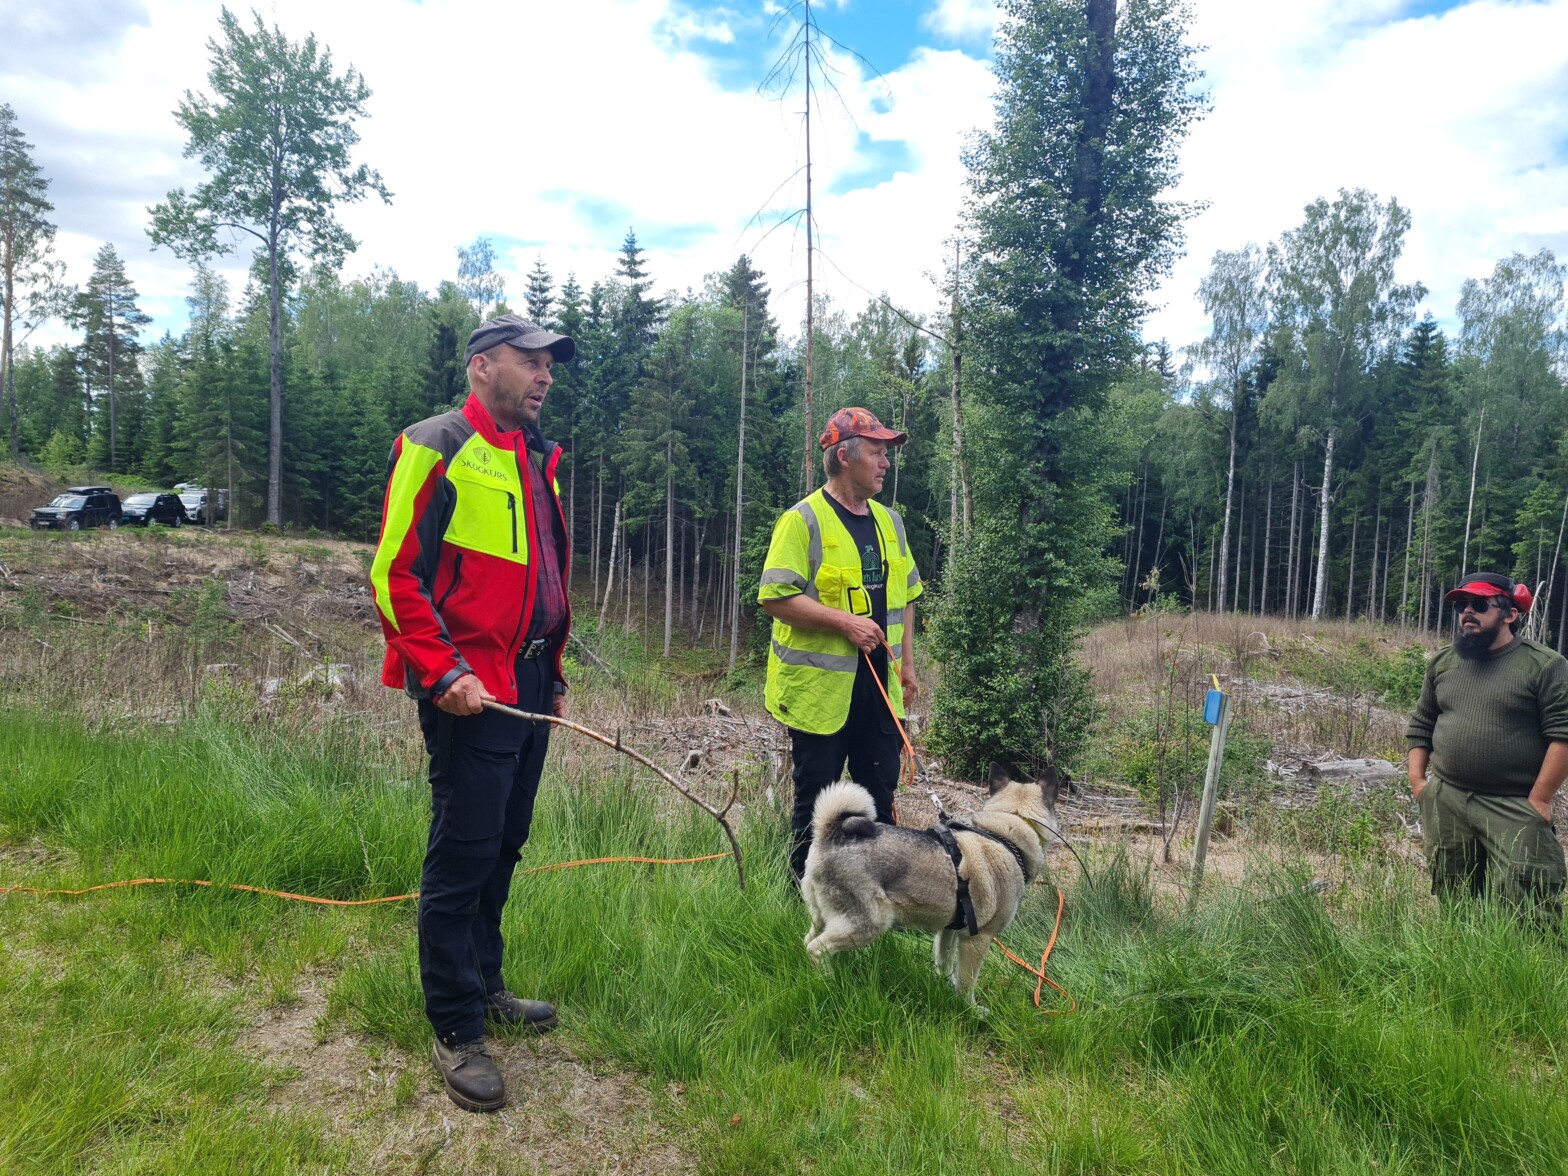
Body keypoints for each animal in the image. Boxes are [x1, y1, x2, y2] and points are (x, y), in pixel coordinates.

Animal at [802, 768, 1059, 1009]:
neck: (1006, 833)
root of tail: (829, 835)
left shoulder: (949, 931)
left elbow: (945, 966)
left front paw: (945, 990)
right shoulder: (977, 940)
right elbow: (967, 982)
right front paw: (970, 1009)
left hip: (823, 918)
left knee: (807, 940)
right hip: (869, 924)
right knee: (816, 949)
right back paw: (829, 982)